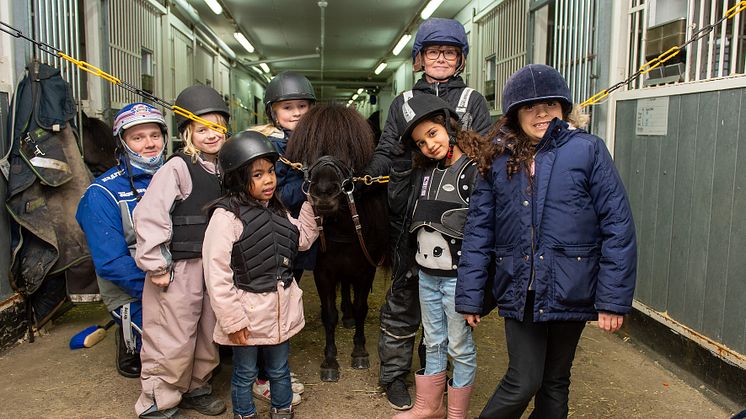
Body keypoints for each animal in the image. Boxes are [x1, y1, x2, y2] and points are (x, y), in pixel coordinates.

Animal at [284, 103, 390, 382]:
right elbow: (328, 315)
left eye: (349, 150)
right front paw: (330, 361)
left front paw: (360, 351)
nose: (323, 193)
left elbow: (362, 307)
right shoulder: (324, 272)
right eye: (310, 150)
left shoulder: (365, 270)